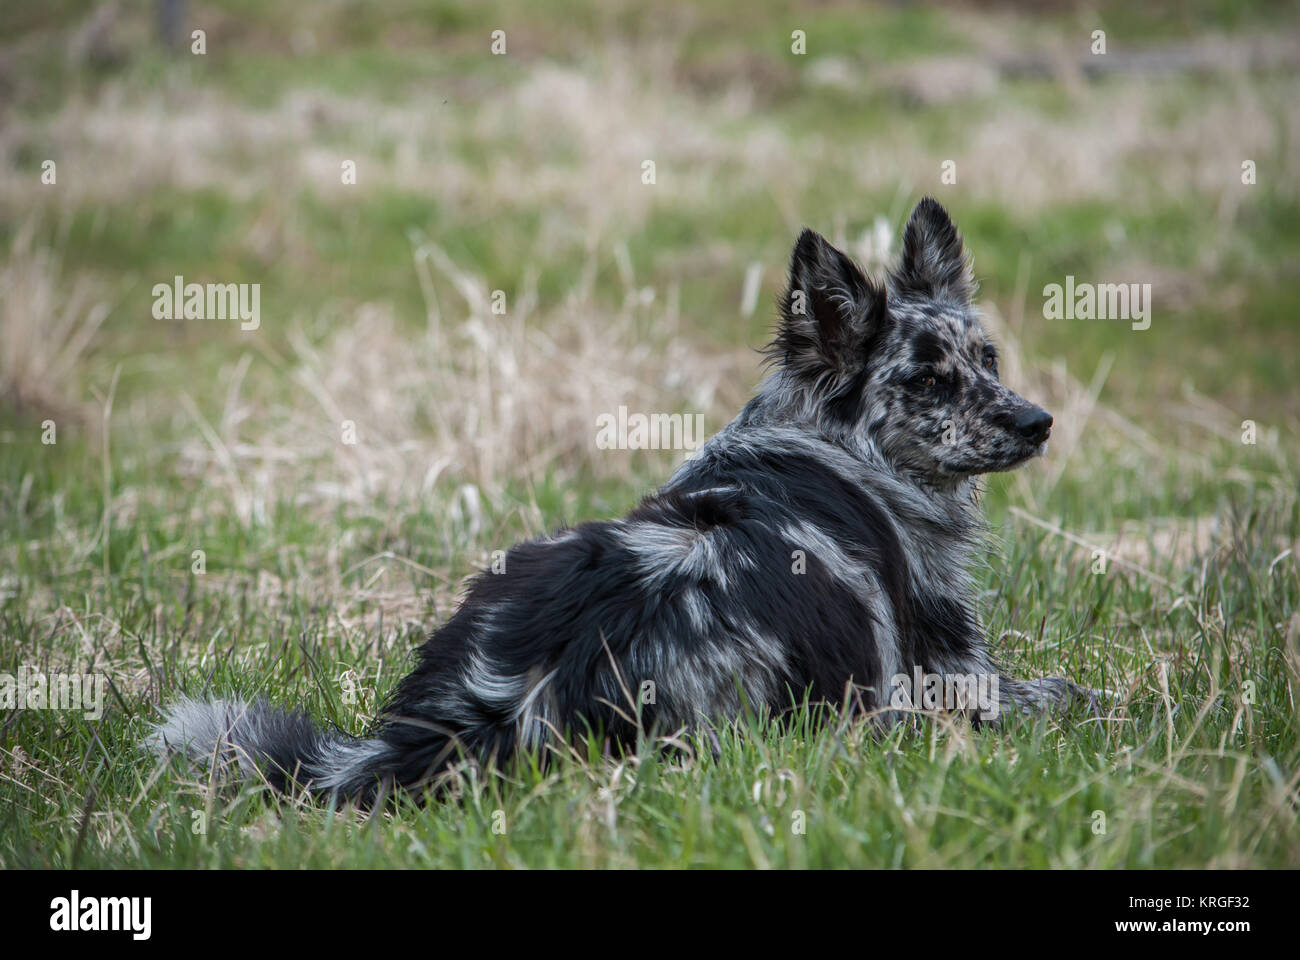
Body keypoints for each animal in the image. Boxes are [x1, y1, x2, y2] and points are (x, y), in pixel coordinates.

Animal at [147, 200, 1092, 801]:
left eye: (988, 360)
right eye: (928, 381)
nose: (1039, 422)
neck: (838, 444)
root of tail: (493, 717)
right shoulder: (962, 683)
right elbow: (1071, 691)